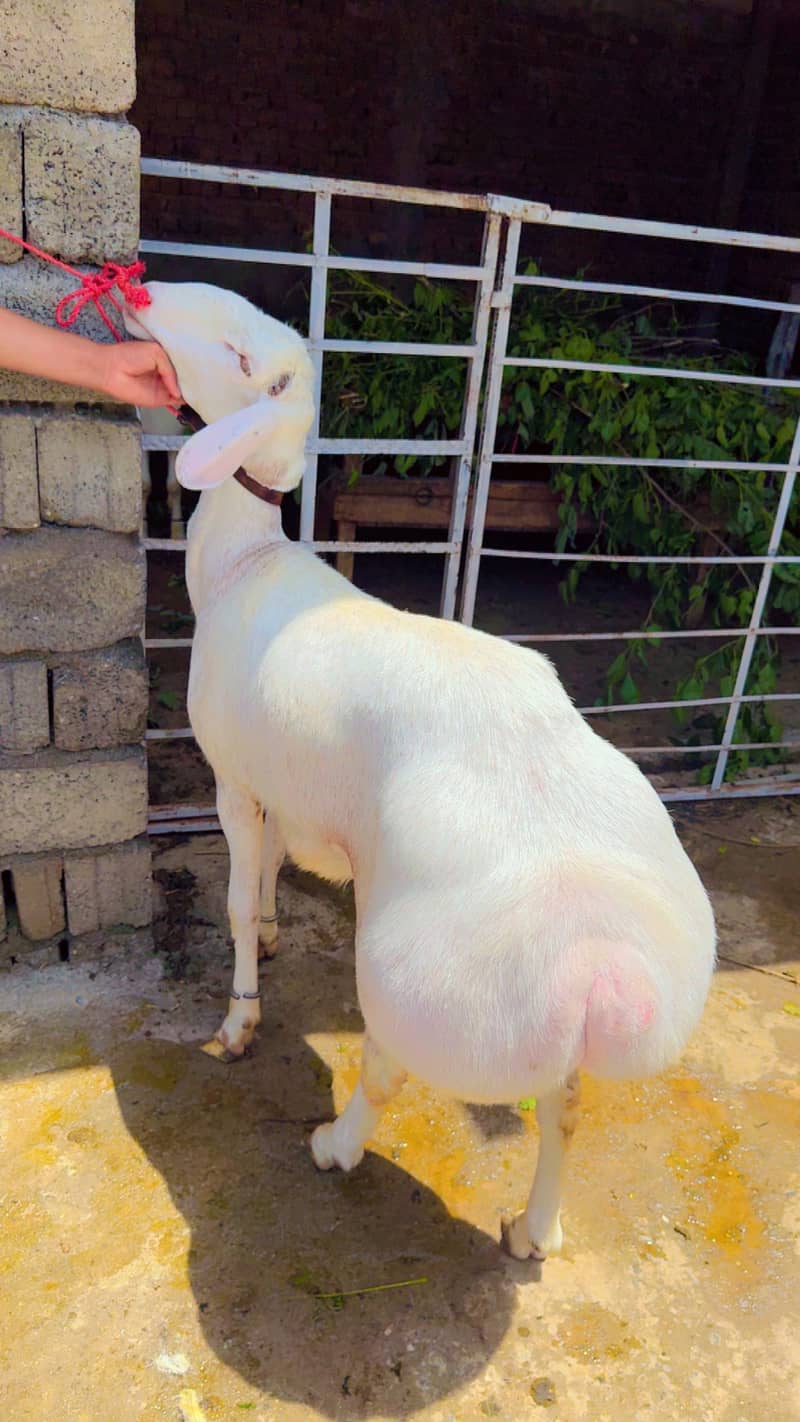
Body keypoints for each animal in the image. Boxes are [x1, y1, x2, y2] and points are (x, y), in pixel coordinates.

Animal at [125, 281, 716, 1260]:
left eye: (243, 359)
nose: (136, 290)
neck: (247, 560)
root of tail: (602, 974)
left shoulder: (234, 777)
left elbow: (239, 897)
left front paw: (241, 1016)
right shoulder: (282, 777)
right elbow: (275, 864)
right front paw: (278, 931)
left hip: (423, 991)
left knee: (390, 1071)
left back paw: (334, 1145)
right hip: (544, 1043)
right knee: (565, 1114)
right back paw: (535, 1231)